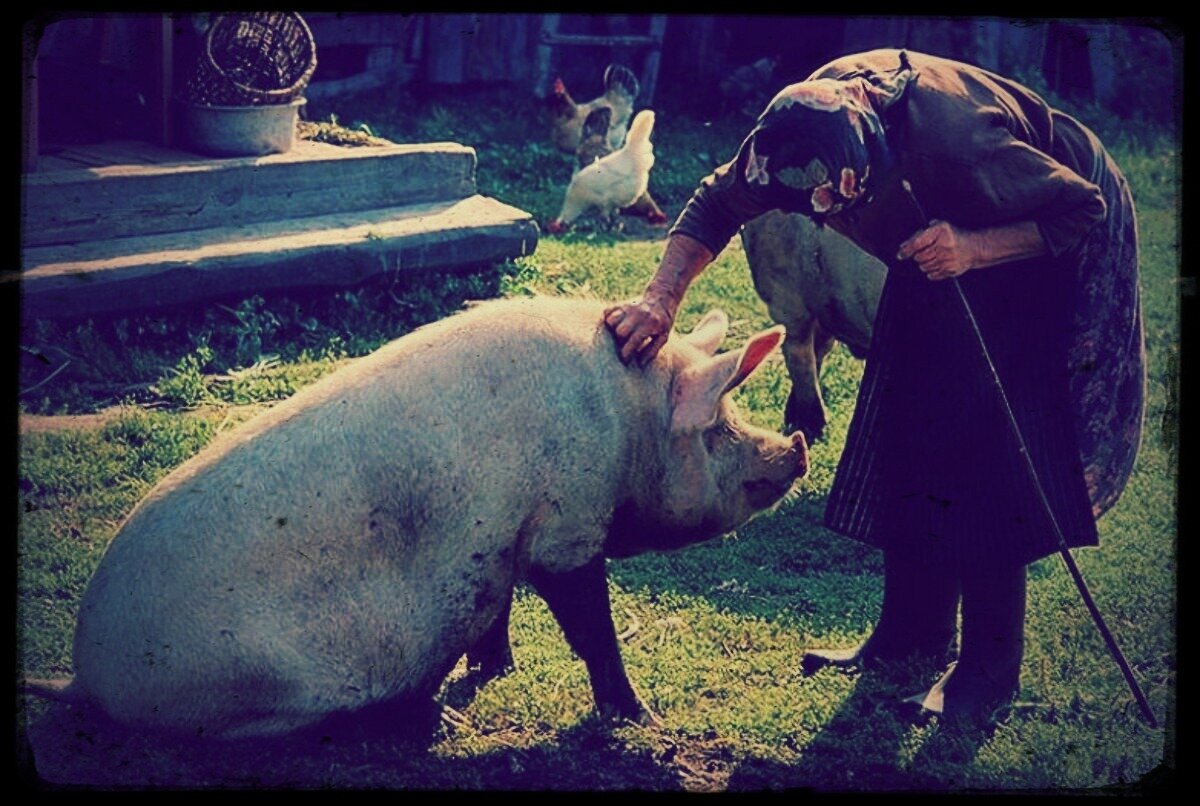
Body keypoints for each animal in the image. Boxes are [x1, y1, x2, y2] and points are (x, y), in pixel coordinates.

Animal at [23, 293, 806, 738]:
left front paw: (498, 670)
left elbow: (497, 611)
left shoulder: (499, 539)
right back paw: (432, 717)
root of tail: (85, 676)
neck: (629, 419)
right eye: (720, 426)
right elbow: (591, 628)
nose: (795, 449)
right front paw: (640, 718)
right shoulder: (566, 524)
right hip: (256, 690)